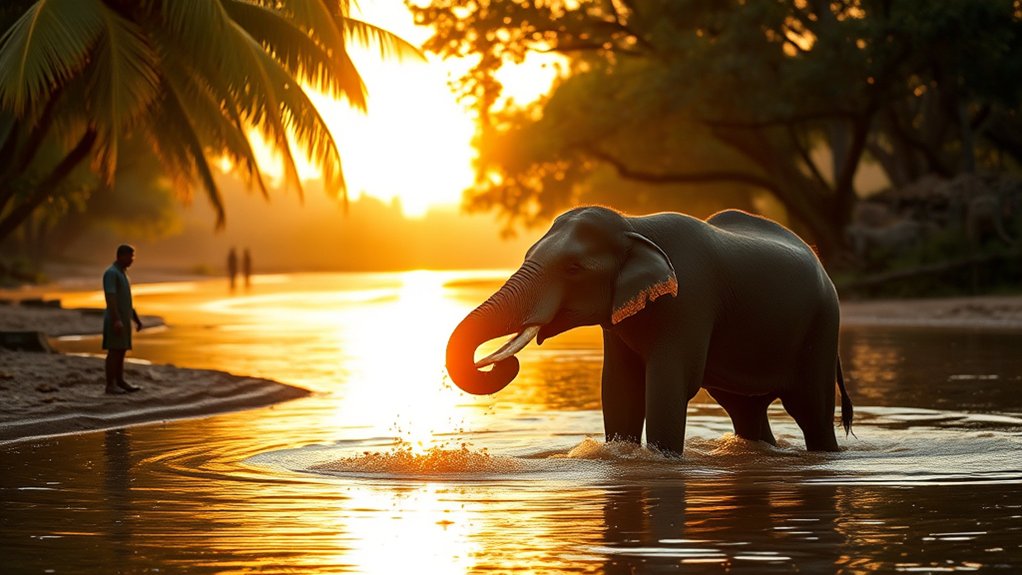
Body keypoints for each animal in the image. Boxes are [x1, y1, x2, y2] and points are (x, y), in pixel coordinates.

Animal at [446, 206, 853, 456]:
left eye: (574, 268)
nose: (502, 364)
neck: (634, 226)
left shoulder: (689, 300)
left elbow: (667, 385)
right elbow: (618, 388)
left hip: (823, 323)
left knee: (811, 410)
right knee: (745, 410)